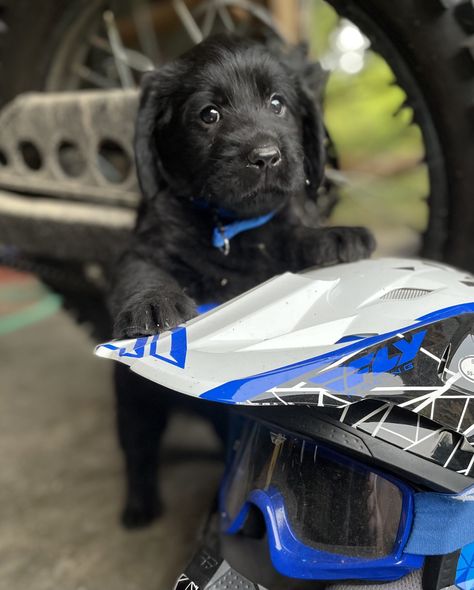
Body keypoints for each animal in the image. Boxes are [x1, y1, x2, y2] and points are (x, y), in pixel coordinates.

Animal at [110, 34, 374, 528]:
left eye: (278, 104)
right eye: (209, 114)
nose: (267, 157)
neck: (230, 228)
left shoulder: (279, 227)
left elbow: (293, 234)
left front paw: (334, 236)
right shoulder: (143, 247)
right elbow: (142, 272)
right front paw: (153, 303)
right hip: (134, 400)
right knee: (138, 450)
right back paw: (138, 505)